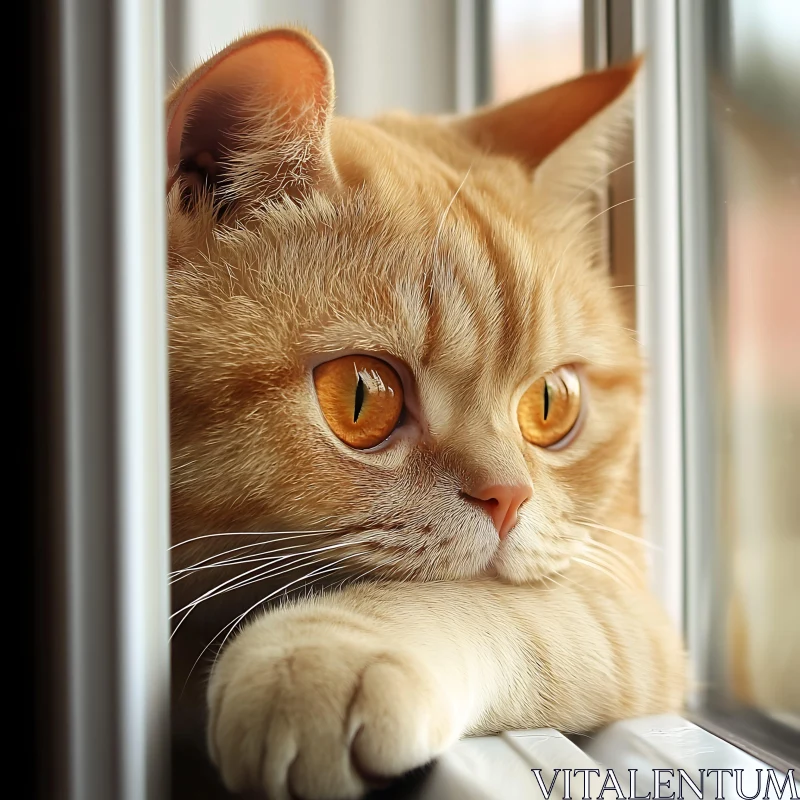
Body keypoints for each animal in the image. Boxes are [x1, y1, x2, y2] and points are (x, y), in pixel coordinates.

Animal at [167, 25, 688, 800]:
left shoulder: (617, 590)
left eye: (551, 403)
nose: (509, 498)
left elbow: (482, 602)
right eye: (361, 398)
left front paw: (321, 655)